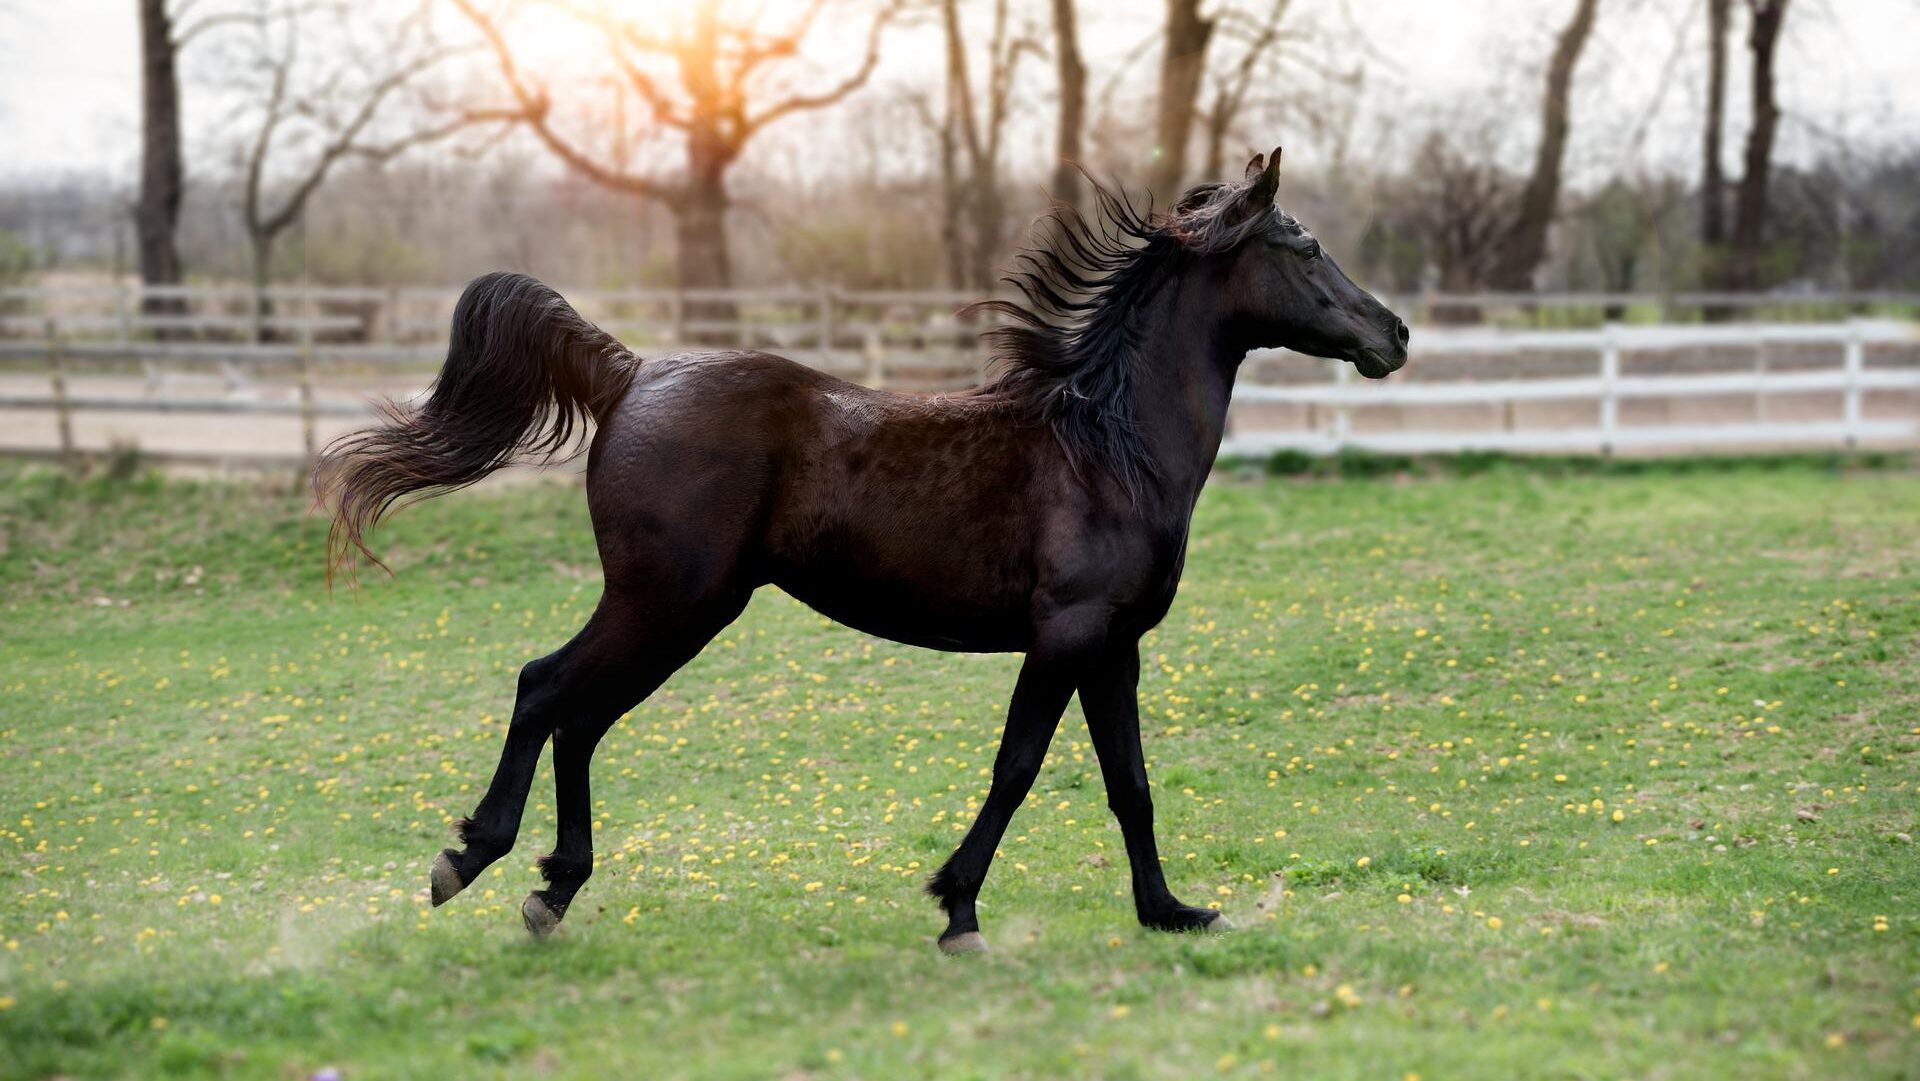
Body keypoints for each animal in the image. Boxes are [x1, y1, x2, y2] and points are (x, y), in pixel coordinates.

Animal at [316, 148, 1409, 954]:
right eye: (1305, 245)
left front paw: (1171, 912)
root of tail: (631, 374)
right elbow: (1018, 765)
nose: (1393, 335)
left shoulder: (1116, 646)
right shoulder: (1064, 635)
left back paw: (552, 889)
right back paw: (472, 860)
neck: (1109, 447)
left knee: (580, 714)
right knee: (547, 689)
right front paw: (958, 910)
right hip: (669, 600)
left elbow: (1128, 781)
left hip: (675, 609)